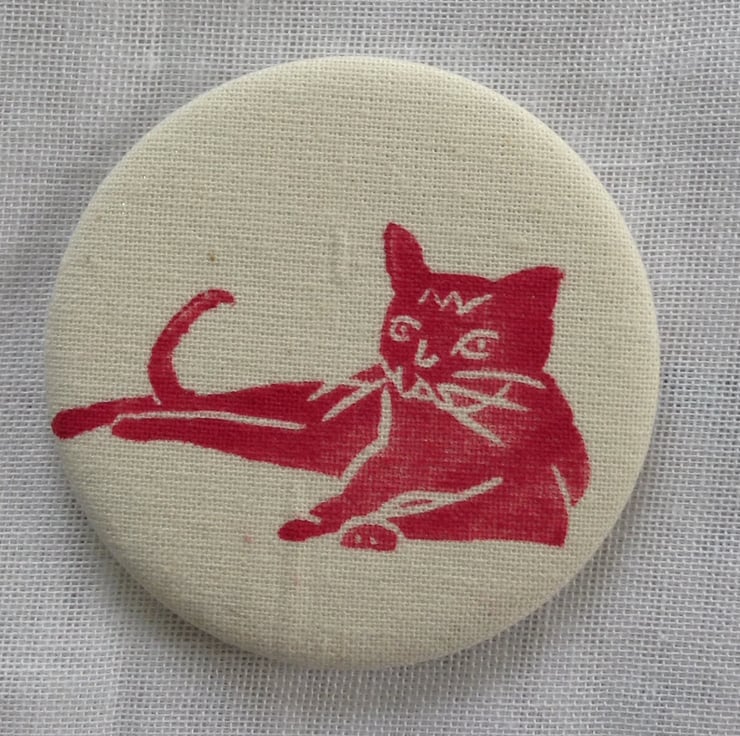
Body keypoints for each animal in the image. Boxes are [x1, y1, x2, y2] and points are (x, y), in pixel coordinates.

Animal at [52, 223, 590, 552]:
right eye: (405, 330)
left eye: (477, 345)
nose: (420, 363)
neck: (436, 429)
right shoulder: (372, 461)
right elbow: (360, 493)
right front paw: (326, 518)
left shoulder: (540, 506)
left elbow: (455, 511)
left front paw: (372, 526)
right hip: (312, 420)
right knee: (208, 412)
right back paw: (91, 419)